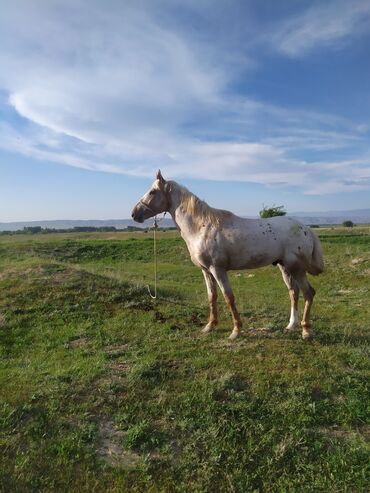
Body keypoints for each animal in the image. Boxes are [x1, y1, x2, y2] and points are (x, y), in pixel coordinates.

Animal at [132, 169, 322, 338]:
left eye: (152, 191)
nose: (134, 214)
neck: (201, 227)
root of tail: (305, 228)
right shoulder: (206, 271)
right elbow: (212, 297)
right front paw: (209, 326)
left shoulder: (218, 270)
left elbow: (228, 297)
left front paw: (236, 331)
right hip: (285, 267)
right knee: (293, 292)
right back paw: (291, 326)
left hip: (296, 268)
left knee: (308, 293)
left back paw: (306, 331)